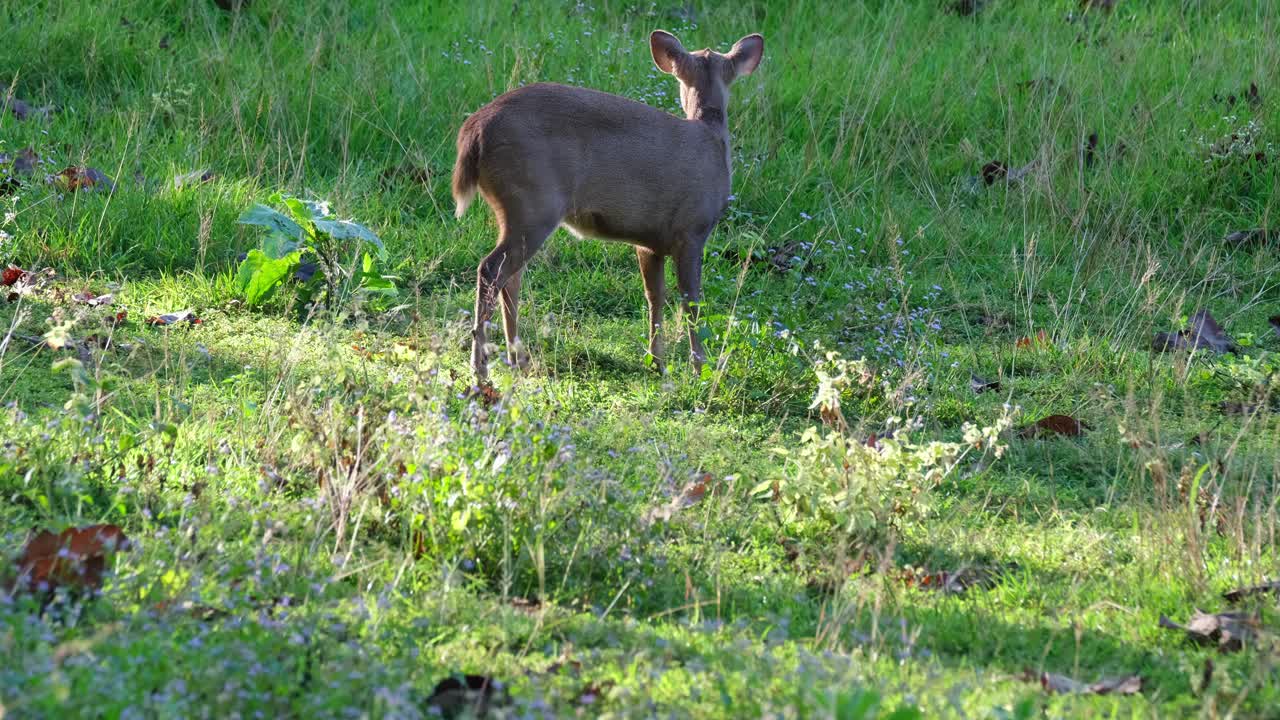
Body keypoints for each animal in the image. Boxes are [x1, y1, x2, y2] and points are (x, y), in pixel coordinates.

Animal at [451, 29, 764, 383]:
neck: (711, 138)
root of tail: (474, 131)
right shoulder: (692, 229)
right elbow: (691, 302)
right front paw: (700, 368)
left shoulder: (650, 242)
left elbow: (655, 296)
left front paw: (657, 362)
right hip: (533, 201)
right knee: (492, 270)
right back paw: (481, 370)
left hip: (513, 210)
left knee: (510, 277)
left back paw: (517, 359)